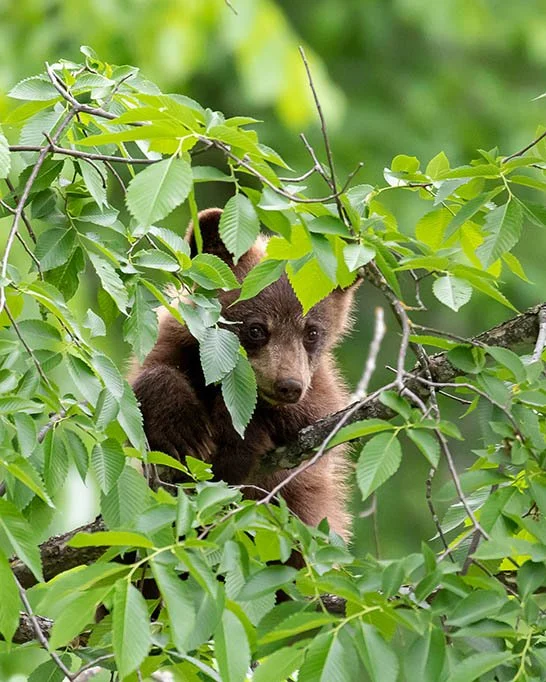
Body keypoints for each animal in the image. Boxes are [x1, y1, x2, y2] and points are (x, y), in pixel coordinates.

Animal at [129, 208, 358, 541]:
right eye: (256, 329)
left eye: (312, 332)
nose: (289, 385)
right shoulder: (176, 343)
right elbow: (141, 386)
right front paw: (184, 432)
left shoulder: (319, 382)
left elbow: (318, 417)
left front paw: (235, 437)